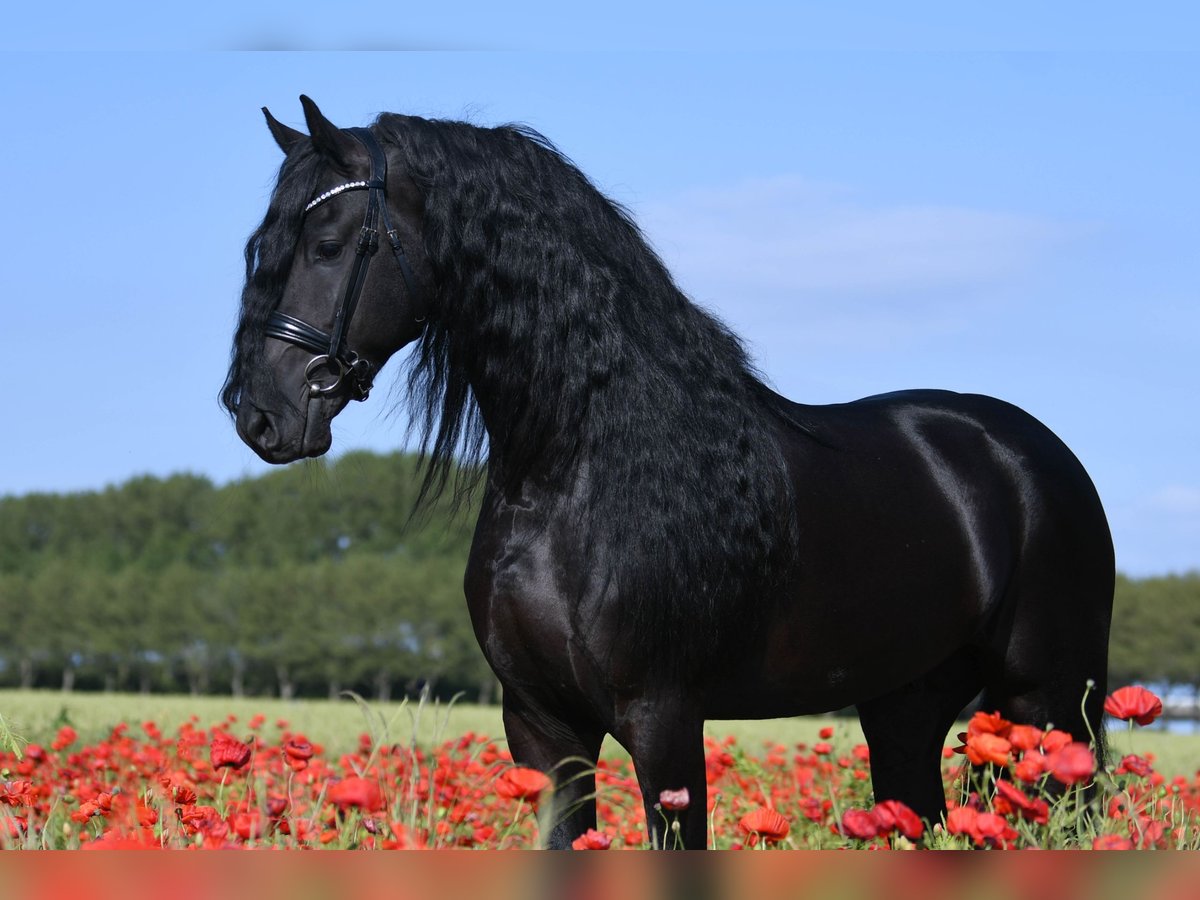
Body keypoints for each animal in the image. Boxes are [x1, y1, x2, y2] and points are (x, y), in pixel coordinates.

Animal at [220, 98, 1108, 854]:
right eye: (261, 247)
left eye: (328, 244)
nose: (257, 412)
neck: (576, 474)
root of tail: (1034, 454)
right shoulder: (541, 724)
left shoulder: (665, 720)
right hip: (905, 707)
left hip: (1049, 706)